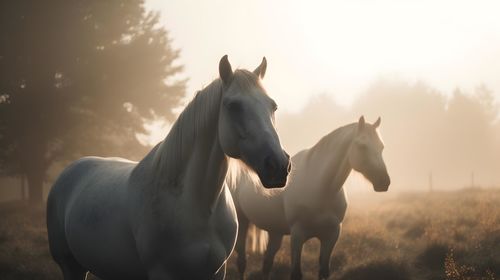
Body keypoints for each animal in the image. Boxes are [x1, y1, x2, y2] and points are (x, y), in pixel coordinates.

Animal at [46, 55, 292, 280]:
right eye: (233, 106)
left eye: (273, 106)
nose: (279, 165)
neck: (196, 206)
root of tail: (71, 169)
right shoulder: (162, 273)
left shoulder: (215, 272)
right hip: (71, 267)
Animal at [230, 117, 390, 278]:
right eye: (362, 146)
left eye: (382, 147)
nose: (384, 182)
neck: (321, 189)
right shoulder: (297, 235)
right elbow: (296, 273)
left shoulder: (331, 235)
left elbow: (324, 271)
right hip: (242, 222)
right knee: (242, 262)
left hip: (275, 231)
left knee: (267, 263)